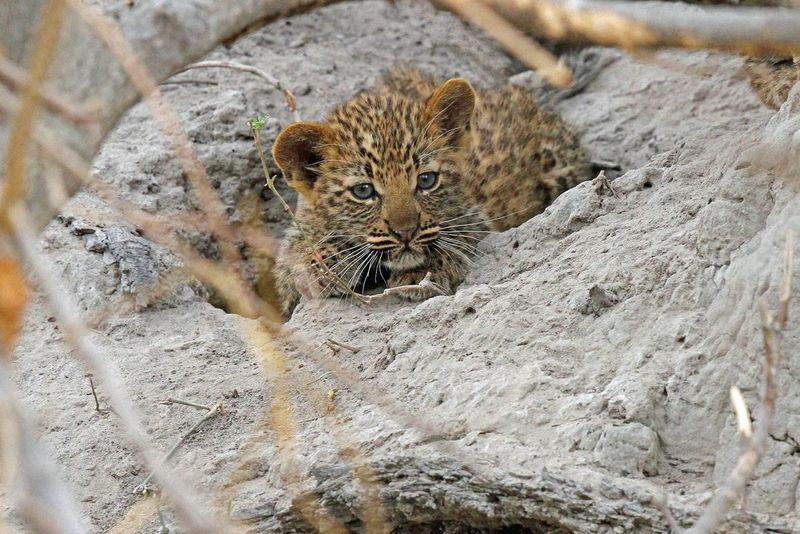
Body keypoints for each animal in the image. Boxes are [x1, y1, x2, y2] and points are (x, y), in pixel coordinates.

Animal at [270, 68, 590, 316]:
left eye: (426, 180)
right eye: (363, 191)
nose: (405, 232)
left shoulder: (474, 215)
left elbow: (457, 234)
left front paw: (421, 272)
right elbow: (293, 256)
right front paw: (322, 264)